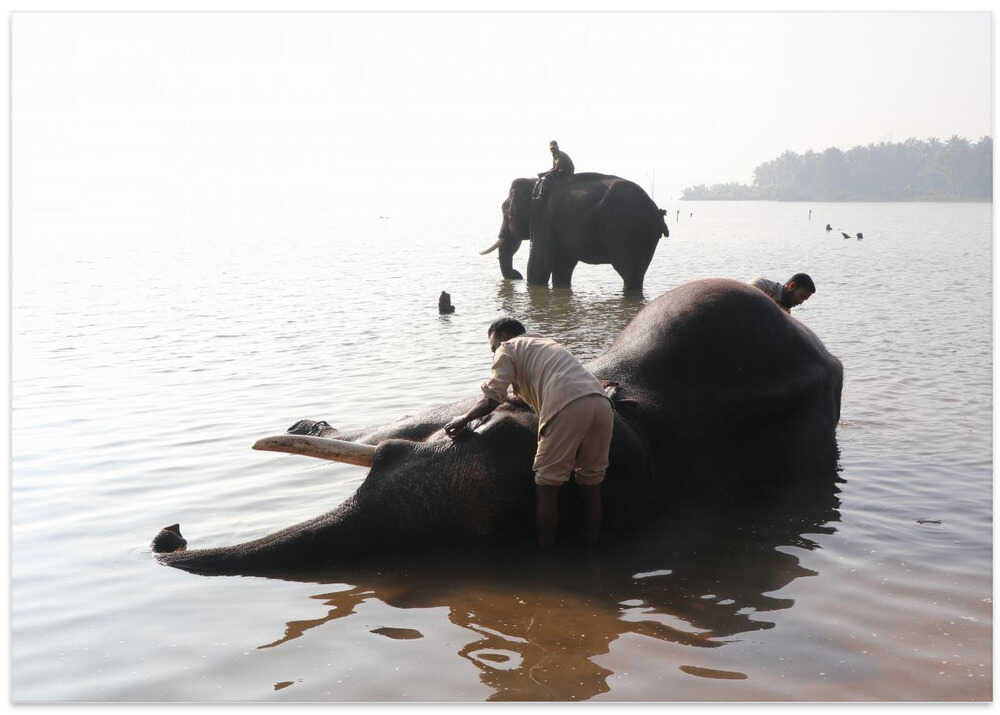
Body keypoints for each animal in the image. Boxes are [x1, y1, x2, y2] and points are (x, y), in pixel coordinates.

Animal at [480, 173, 670, 293]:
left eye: (505, 211)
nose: (515, 275)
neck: (534, 182)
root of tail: (657, 212)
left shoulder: (542, 218)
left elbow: (540, 262)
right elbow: (563, 266)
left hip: (626, 231)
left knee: (628, 272)